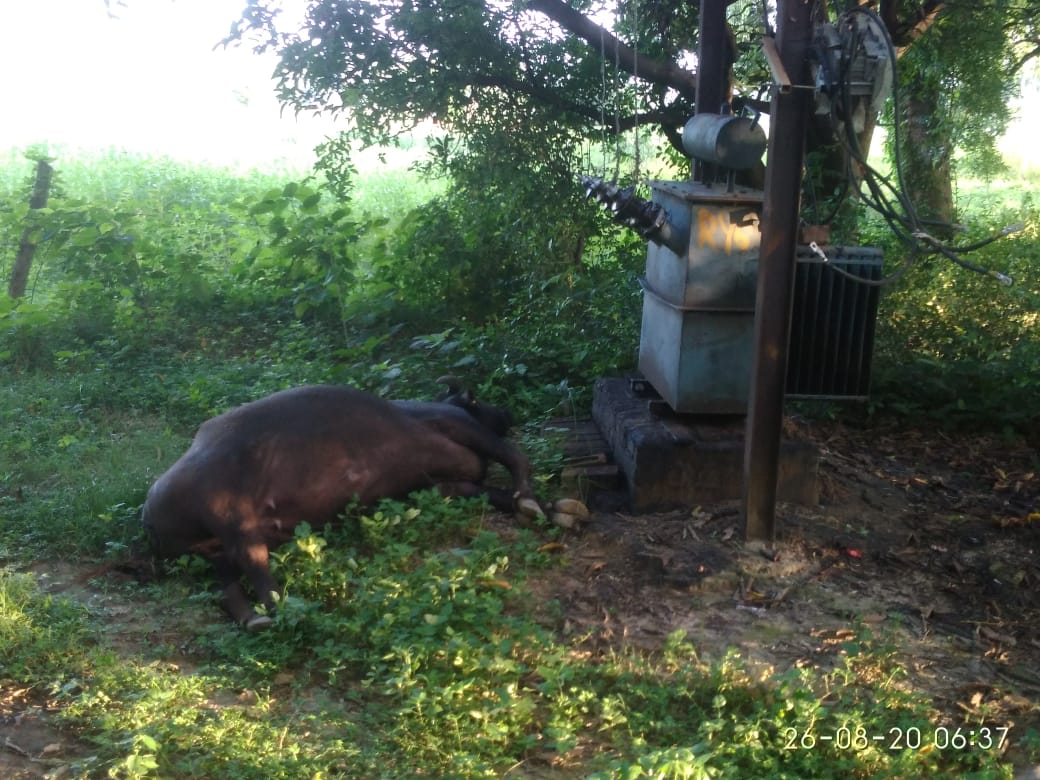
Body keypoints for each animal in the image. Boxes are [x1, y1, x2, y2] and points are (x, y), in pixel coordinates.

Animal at [141, 382, 540, 632]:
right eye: (475, 399)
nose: (508, 411)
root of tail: (147, 514)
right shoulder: (455, 422)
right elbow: (511, 455)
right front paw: (531, 503)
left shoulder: (443, 485)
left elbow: (486, 491)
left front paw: (535, 508)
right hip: (231, 516)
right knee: (254, 566)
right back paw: (290, 610)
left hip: (212, 550)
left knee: (226, 585)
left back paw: (256, 620)